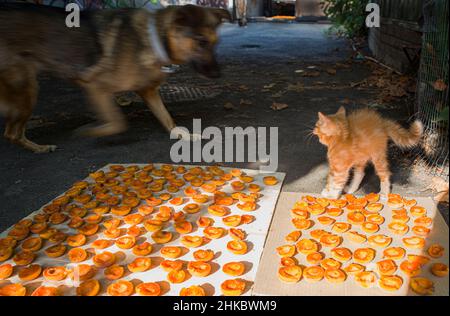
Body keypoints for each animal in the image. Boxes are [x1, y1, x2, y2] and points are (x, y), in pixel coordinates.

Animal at [0, 3, 230, 152]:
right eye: (201, 41)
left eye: (215, 42)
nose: (218, 74)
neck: (154, 39)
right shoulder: (95, 86)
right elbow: (119, 122)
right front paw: (90, 132)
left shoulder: (148, 91)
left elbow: (166, 117)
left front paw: (183, 135)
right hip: (27, 90)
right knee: (11, 133)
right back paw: (39, 147)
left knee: (13, 132)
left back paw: (38, 147)